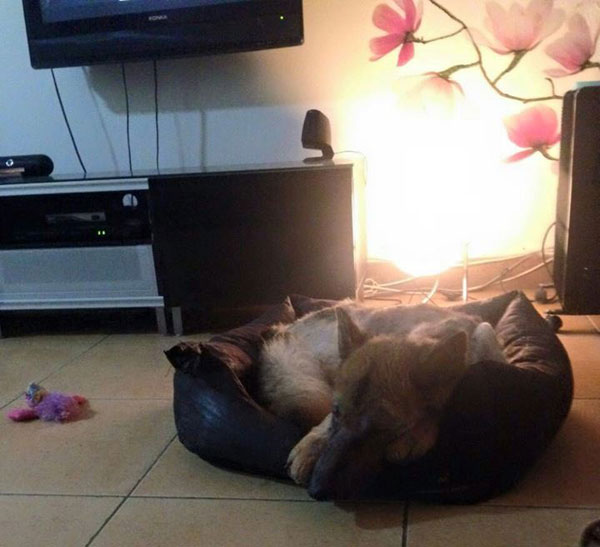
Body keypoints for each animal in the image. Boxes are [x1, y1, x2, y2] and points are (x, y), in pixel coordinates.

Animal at [258, 302, 506, 498]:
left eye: (382, 426)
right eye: (338, 412)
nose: (317, 490)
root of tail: (286, 328)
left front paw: (417, 434)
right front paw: (312, 444)